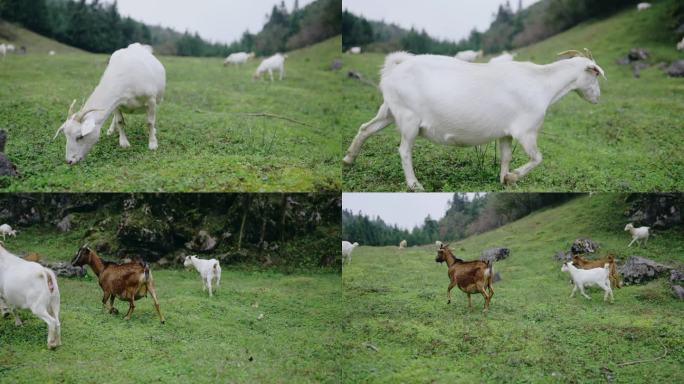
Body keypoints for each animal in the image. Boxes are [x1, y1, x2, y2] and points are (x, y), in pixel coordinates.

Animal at [344, 49, 608, 190]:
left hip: (389, 110)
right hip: (409, 118)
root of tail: (395, 67)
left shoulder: (506, 133)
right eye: (595, 75)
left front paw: (504, 179)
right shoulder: (526, 131)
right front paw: (513, 177)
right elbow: (537, 158)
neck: (542, 82)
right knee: (404, 150)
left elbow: (505, 157)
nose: (598, 98)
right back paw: (414, 184)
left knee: (365, 129)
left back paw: (348, 159)